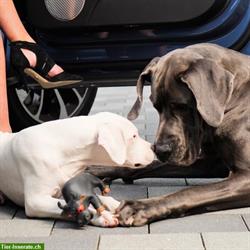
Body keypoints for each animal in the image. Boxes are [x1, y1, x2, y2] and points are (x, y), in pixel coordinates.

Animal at [0, 113, 154, 227]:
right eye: (134, 136)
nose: (153, 147)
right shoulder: (35, 201)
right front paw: (102, 217)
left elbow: (101, 197)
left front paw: (119, 204)